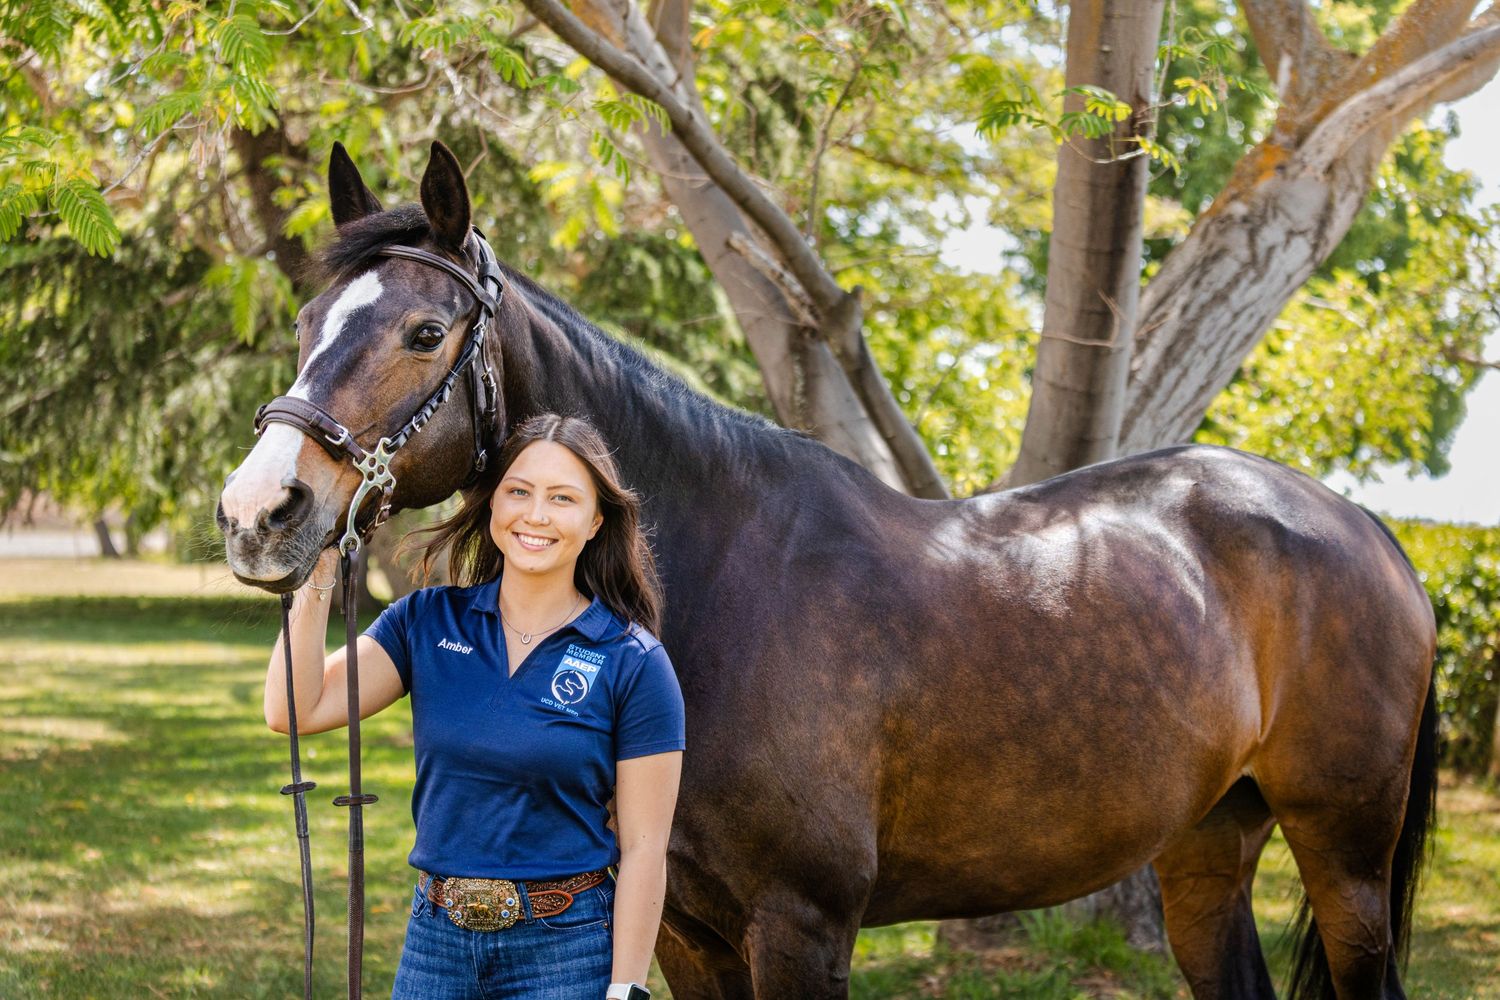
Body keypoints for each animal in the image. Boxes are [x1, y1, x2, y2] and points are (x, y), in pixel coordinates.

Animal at [218, 141, 1437, 1000]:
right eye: (307, 321)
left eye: (425, 331)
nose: (258, 512)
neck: (720, 588)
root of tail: (1365, 528)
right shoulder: (684, 932)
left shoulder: (801, 929)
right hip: (1209, 846)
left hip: (1347, 858)